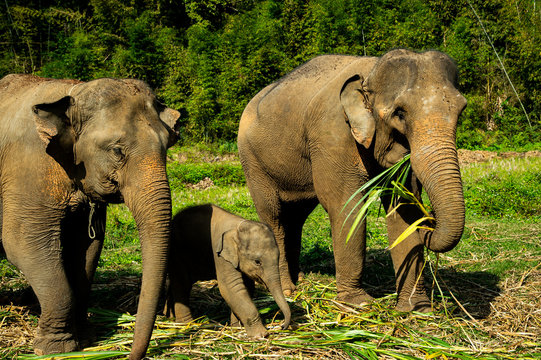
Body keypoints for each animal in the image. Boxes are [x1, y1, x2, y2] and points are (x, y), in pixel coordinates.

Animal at [0, 74, 181, 358]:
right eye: (117, 151)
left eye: (167, 145)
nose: (129, 354)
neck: (72, 92)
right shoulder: (26, 171)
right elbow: (23, 244)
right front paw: (55, 348)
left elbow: (87, 249)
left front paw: (86, 338)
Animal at [165, 205, 292, 338]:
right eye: (257, 262)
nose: (282, 326)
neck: (238, 227)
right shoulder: (220, 255)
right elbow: (230, 288)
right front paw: (261, 335)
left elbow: (246, 287)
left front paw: (236, 327)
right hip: (176, 251)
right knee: (182, 284)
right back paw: (186, 324)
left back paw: (169, 317)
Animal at [238, 48, 466, 312]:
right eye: (399, 113)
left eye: (461, 111)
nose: (430, 219)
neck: (371, 70)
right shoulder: (332, 135)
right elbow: (345, 205)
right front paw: (359, 304)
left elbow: (402, 209)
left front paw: (416, 309)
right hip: (252, 162)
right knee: (273, 215)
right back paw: (287, 290)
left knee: (295, 217)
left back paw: (300, 281)